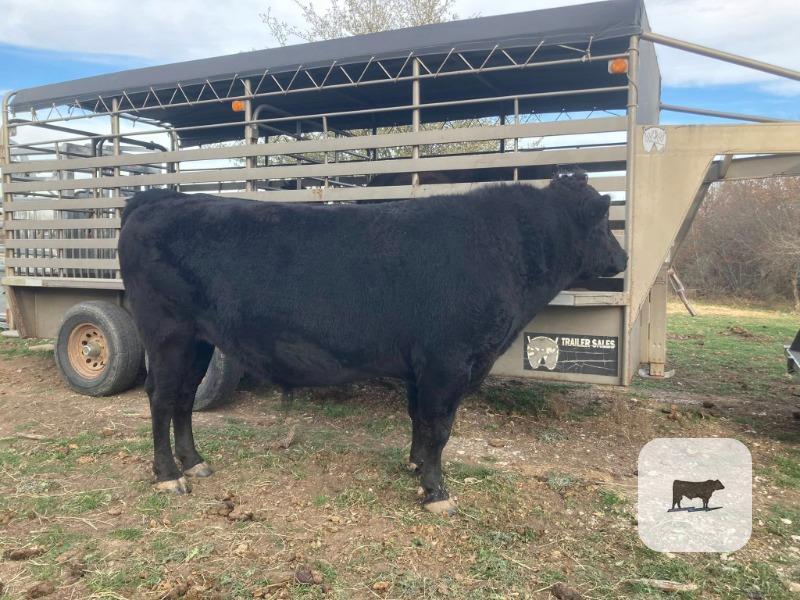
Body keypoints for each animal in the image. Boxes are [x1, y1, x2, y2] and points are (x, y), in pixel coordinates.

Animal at [118, 172, 627, 515]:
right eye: (604, 221)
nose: (622, 258)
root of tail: (159, 198)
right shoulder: (448, 361)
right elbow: (440, 427)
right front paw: (437, 493)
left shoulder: (422, 365)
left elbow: (420, 420)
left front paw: (416, 468)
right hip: (167, 332)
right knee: (161, 397)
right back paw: (168, 476)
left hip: (198, 340)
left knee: (183, 398)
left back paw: (195, 463)